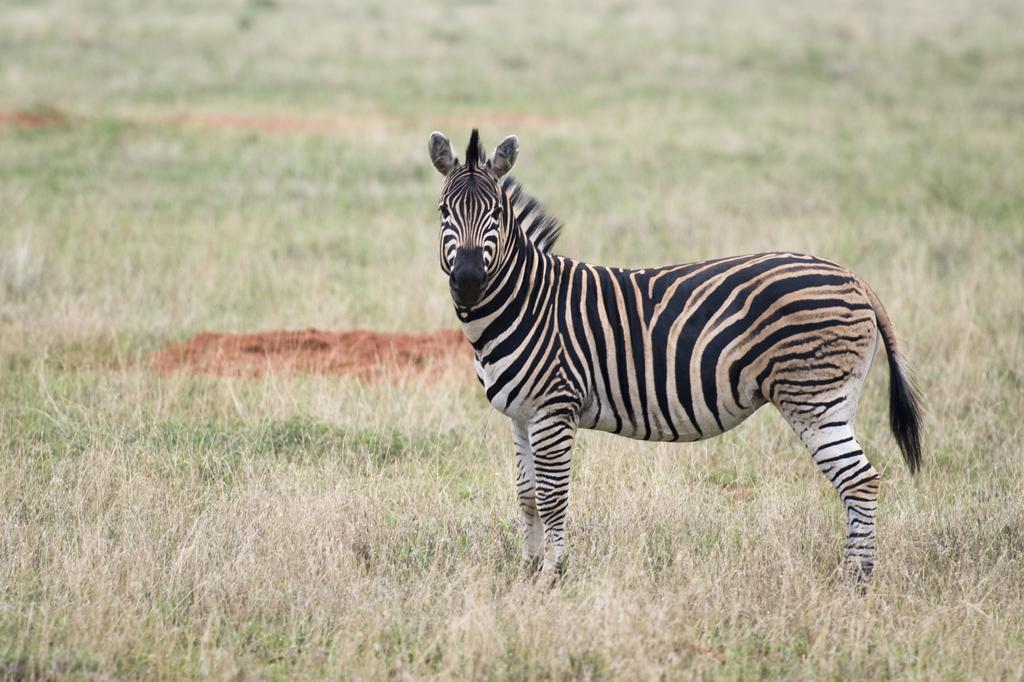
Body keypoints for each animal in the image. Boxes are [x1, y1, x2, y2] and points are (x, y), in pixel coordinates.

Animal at [428, 129, 925, 577]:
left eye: (496, 213)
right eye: (443, 212)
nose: (468, 281)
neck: (527, 302)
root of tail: (853, 277)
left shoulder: (554, 408)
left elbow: (552, 498)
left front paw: (553, 576)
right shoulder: (521, 416)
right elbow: (527, 496)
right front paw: (528, 574)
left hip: (815, 399)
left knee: (860, 481)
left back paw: (856, 580)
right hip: (833, 401)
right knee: (858, 480)